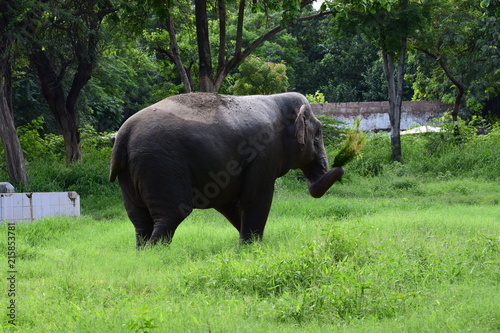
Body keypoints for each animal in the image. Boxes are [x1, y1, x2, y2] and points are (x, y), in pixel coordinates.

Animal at [109, 92, 344, 248]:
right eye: (318, 133)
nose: (341, 165)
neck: (278, 99)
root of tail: (123, 134)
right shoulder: (264, 153)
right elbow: (255, 196)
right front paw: (252, 247)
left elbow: (228, 203)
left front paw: (253, 244)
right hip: (161, 166)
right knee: (170, 216)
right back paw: (156, 254)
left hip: (130, 175)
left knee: (139, 220)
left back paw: (142, 253)